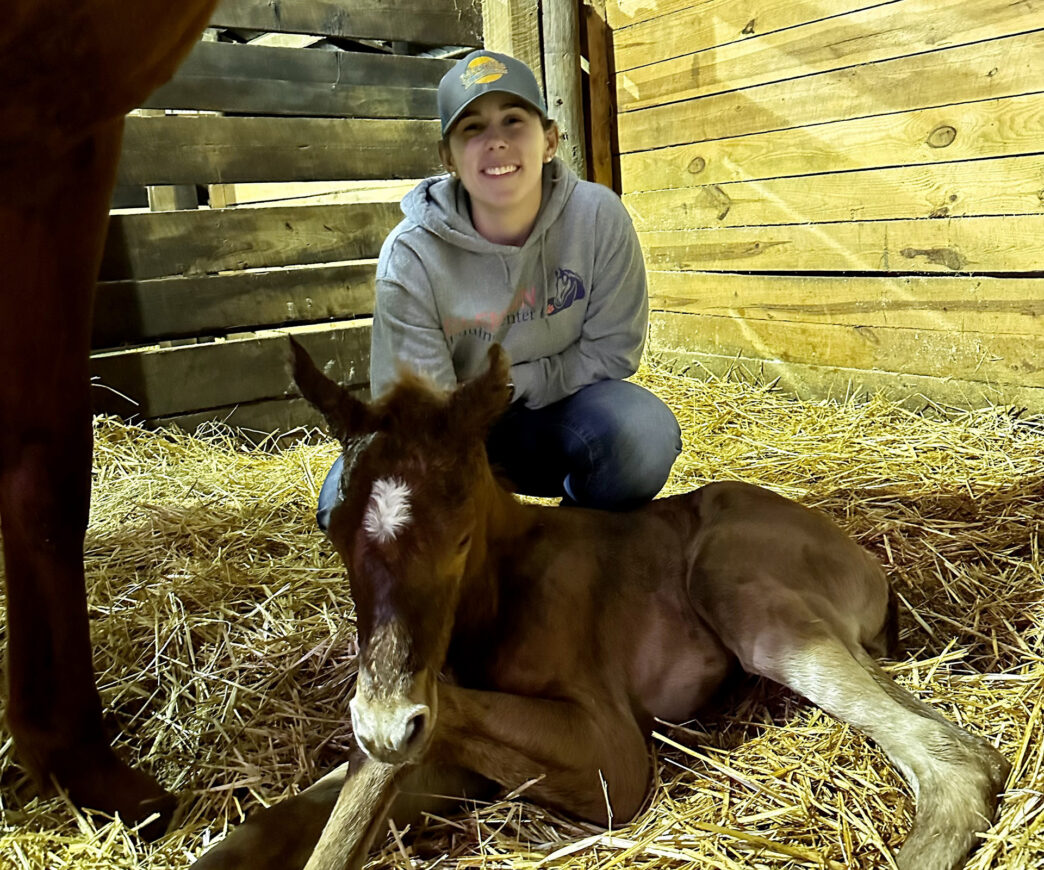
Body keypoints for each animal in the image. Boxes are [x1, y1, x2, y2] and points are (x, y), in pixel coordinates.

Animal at [193, 339, 1010, 870]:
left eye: (460, 536)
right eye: (332, 528)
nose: (384, 719)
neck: (500, 594)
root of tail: (867, 561)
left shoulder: (611, 758)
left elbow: (419, 739)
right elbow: (275, 824)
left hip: (736, 581)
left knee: (958, 756)